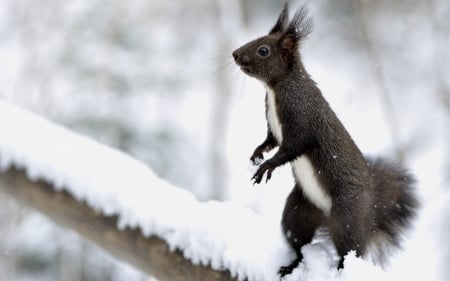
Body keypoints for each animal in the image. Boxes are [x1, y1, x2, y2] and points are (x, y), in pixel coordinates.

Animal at [232, 3, 418, 276]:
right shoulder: (273, 128)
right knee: (298, 242)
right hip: (299, 211)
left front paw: (267, 166)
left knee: (350, 250)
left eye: (263, 50)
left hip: (347, 217)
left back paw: (341, 269)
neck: (276, 88)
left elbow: (291, 147)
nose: (235, 54)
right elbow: (270, 141)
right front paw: (257, 153)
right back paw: (290, 266)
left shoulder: (302, 122)